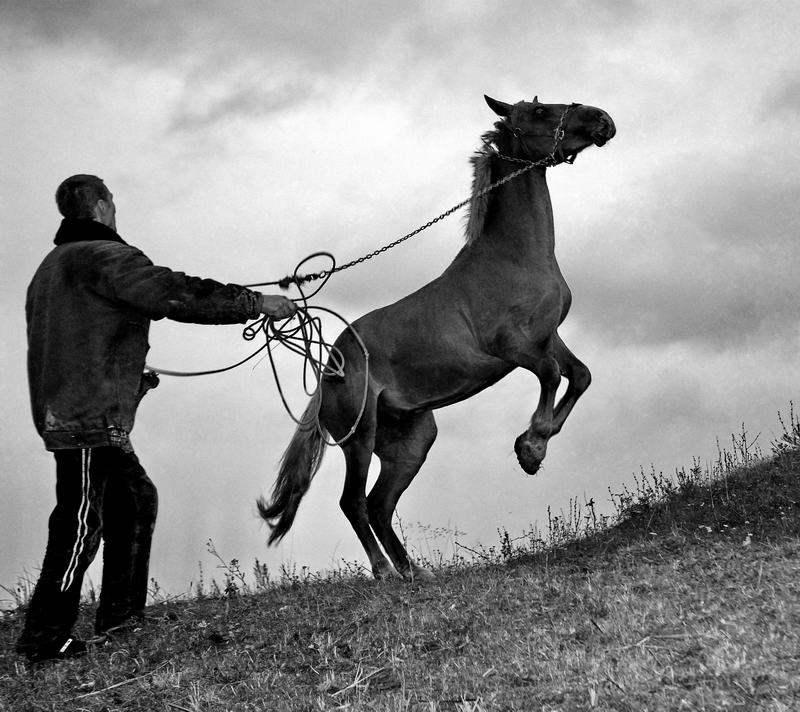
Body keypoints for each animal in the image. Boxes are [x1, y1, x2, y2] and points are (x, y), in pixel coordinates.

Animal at [258, 95, 616, 580]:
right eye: (540, 112)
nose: (603, 119)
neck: (514, 258)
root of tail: (329, 367)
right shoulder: (511, 346)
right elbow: (549, 374)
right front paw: (531, 446)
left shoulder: (548, 335)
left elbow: (579, 376)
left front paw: (534, 447)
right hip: (360, 438)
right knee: (353, 503)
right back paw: (385, 573)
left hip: (411, 444)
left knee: (379, 505)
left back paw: (413, 572)